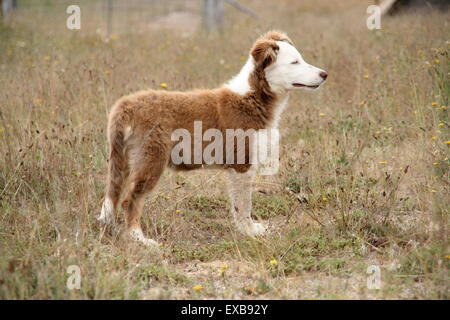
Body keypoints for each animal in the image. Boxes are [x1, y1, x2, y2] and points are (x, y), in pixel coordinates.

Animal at [98, 31, 326, 246]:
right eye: (294, 62)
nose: (324, 74)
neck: (253, 97)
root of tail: (124, 106)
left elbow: (236, 204)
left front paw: (244, 230)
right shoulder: (243, 164)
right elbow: (245, 204)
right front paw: (250, 231)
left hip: (123, 160)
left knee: (112, 195)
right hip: (150, 160)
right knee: (130, 200)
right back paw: (139, 238)